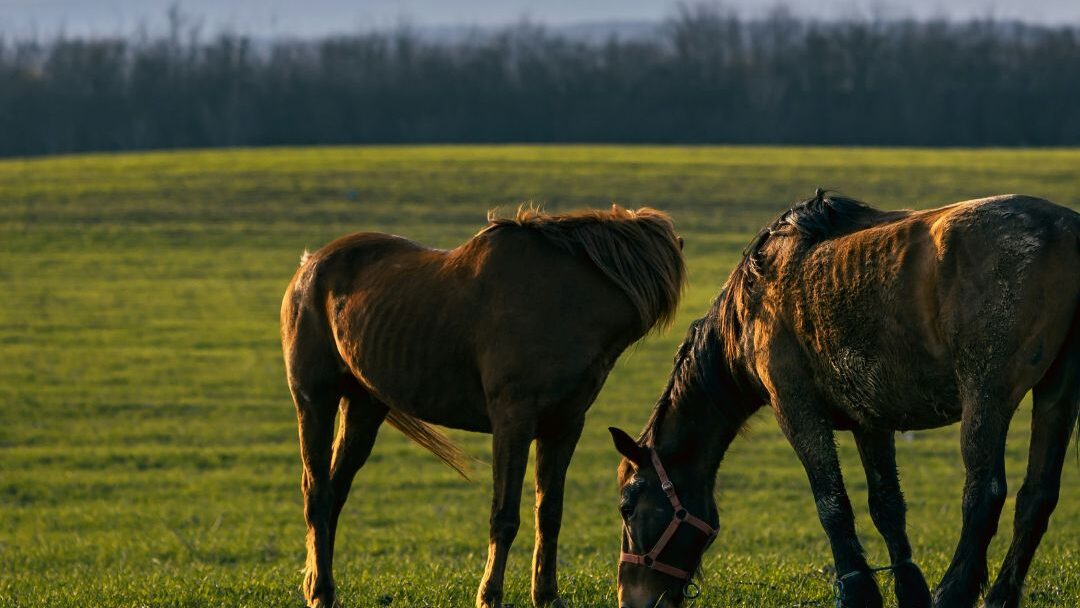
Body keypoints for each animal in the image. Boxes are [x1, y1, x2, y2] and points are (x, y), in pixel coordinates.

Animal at [278, 206, 682, 608]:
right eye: (630, 508)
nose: (650, 595)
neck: (563, 301)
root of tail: (309, 265)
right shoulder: (513, 421)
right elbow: (504, 516)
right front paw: (489, 596)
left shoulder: (565, 425)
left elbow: (550, 513)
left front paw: (547, 596)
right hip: (314, 400)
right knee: (317, 492)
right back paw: (320, 591)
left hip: (364, 407)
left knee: (336, 491)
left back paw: (319, 585)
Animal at [609, 192, 1080, 608]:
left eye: (628, 506)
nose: (630, 598)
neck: (756, 299)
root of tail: (1068, 230)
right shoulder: (870, 420)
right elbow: (886, 506)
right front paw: (908, 589)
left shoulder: (797, 410)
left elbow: (832, 503)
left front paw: (858, 592)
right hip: (1057, 395)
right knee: (1037, 497)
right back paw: (1000, 597)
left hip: (987, 396)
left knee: (985, 493)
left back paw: (953, 593)